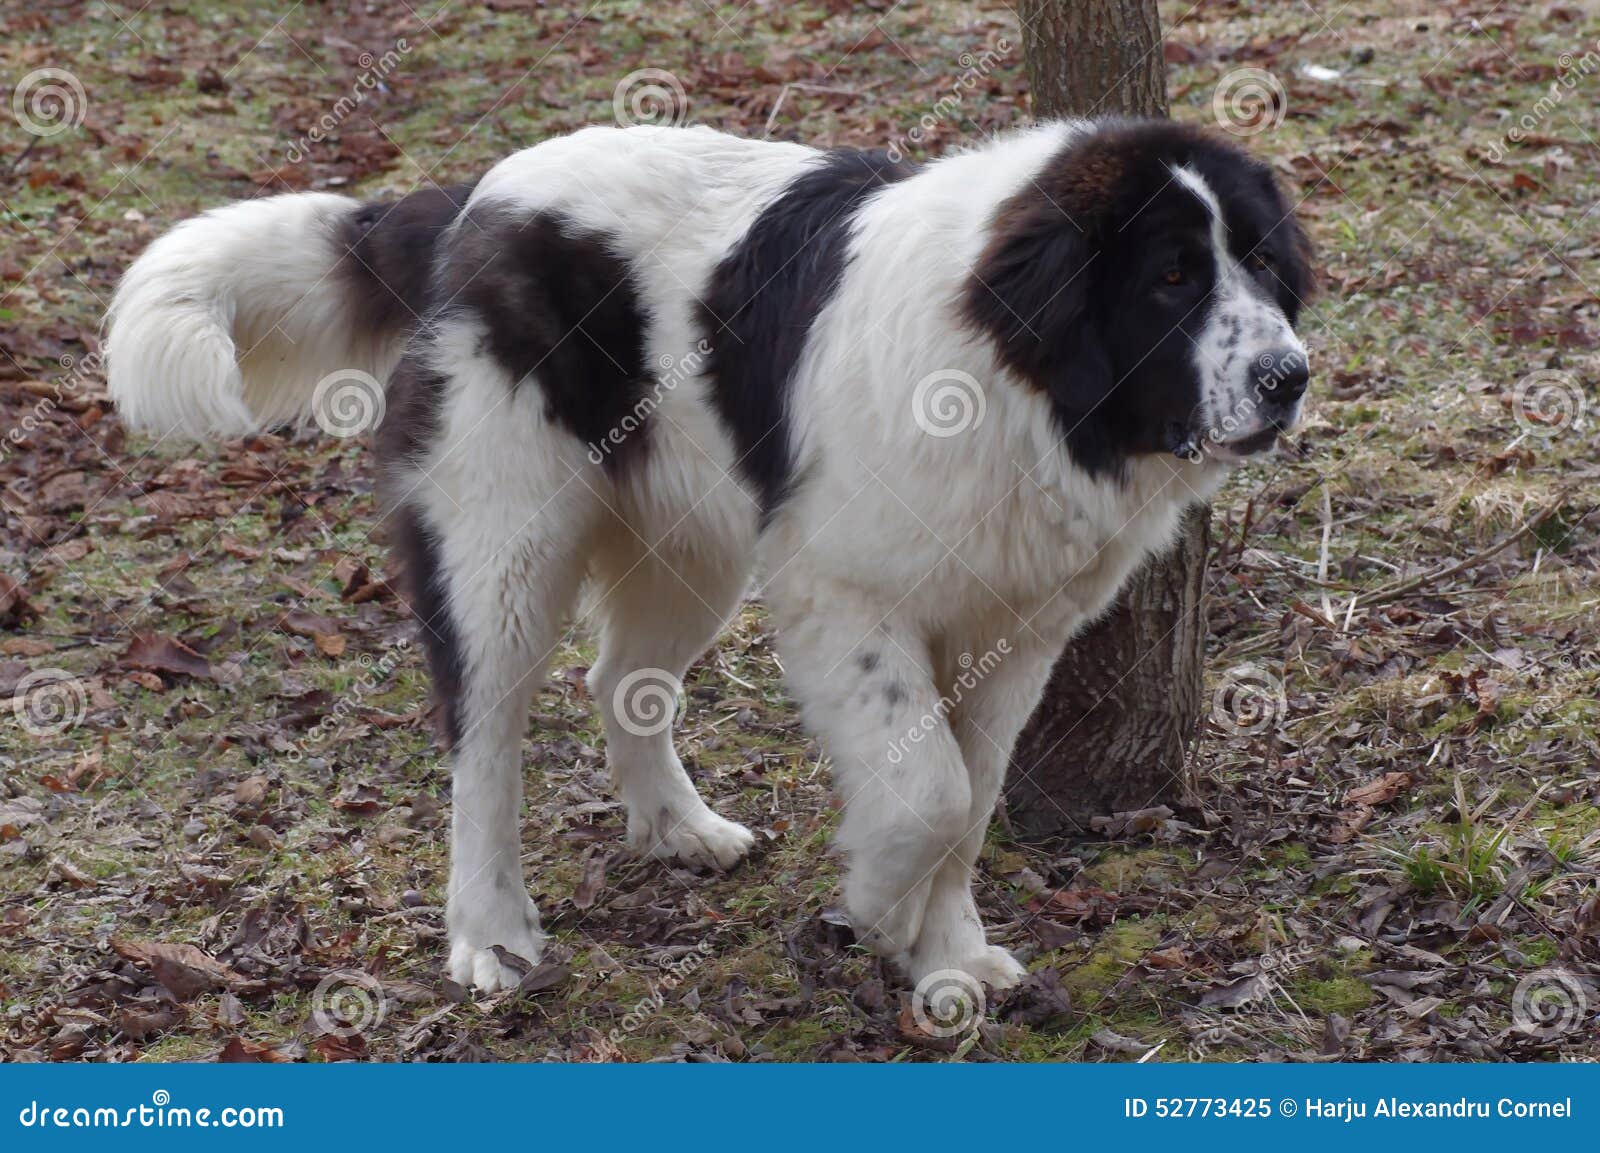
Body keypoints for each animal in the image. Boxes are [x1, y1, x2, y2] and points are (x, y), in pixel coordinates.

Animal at [109, 121, 1312, 991]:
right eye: (1170, 279)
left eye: (1258, 262)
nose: (1288, 375)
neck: (1014, 375)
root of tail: (470, 203)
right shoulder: (847, 596)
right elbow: (926, 791)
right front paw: (876, 910)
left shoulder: (1013, 630)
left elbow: (970, 802)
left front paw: (949, 958)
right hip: (505, 549)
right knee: (481, 739)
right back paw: (489, 932)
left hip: (689, 546)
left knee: (620, 680)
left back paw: (678, 826)